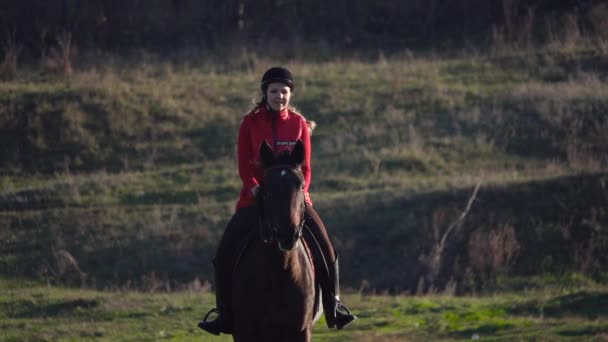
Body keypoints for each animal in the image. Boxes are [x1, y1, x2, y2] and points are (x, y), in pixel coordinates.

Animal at [230, 140, 320, 340]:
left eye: (301, 186)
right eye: (267, 188)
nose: (287, 235)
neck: (281, 271)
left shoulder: (302, 331)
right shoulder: (244, 333)